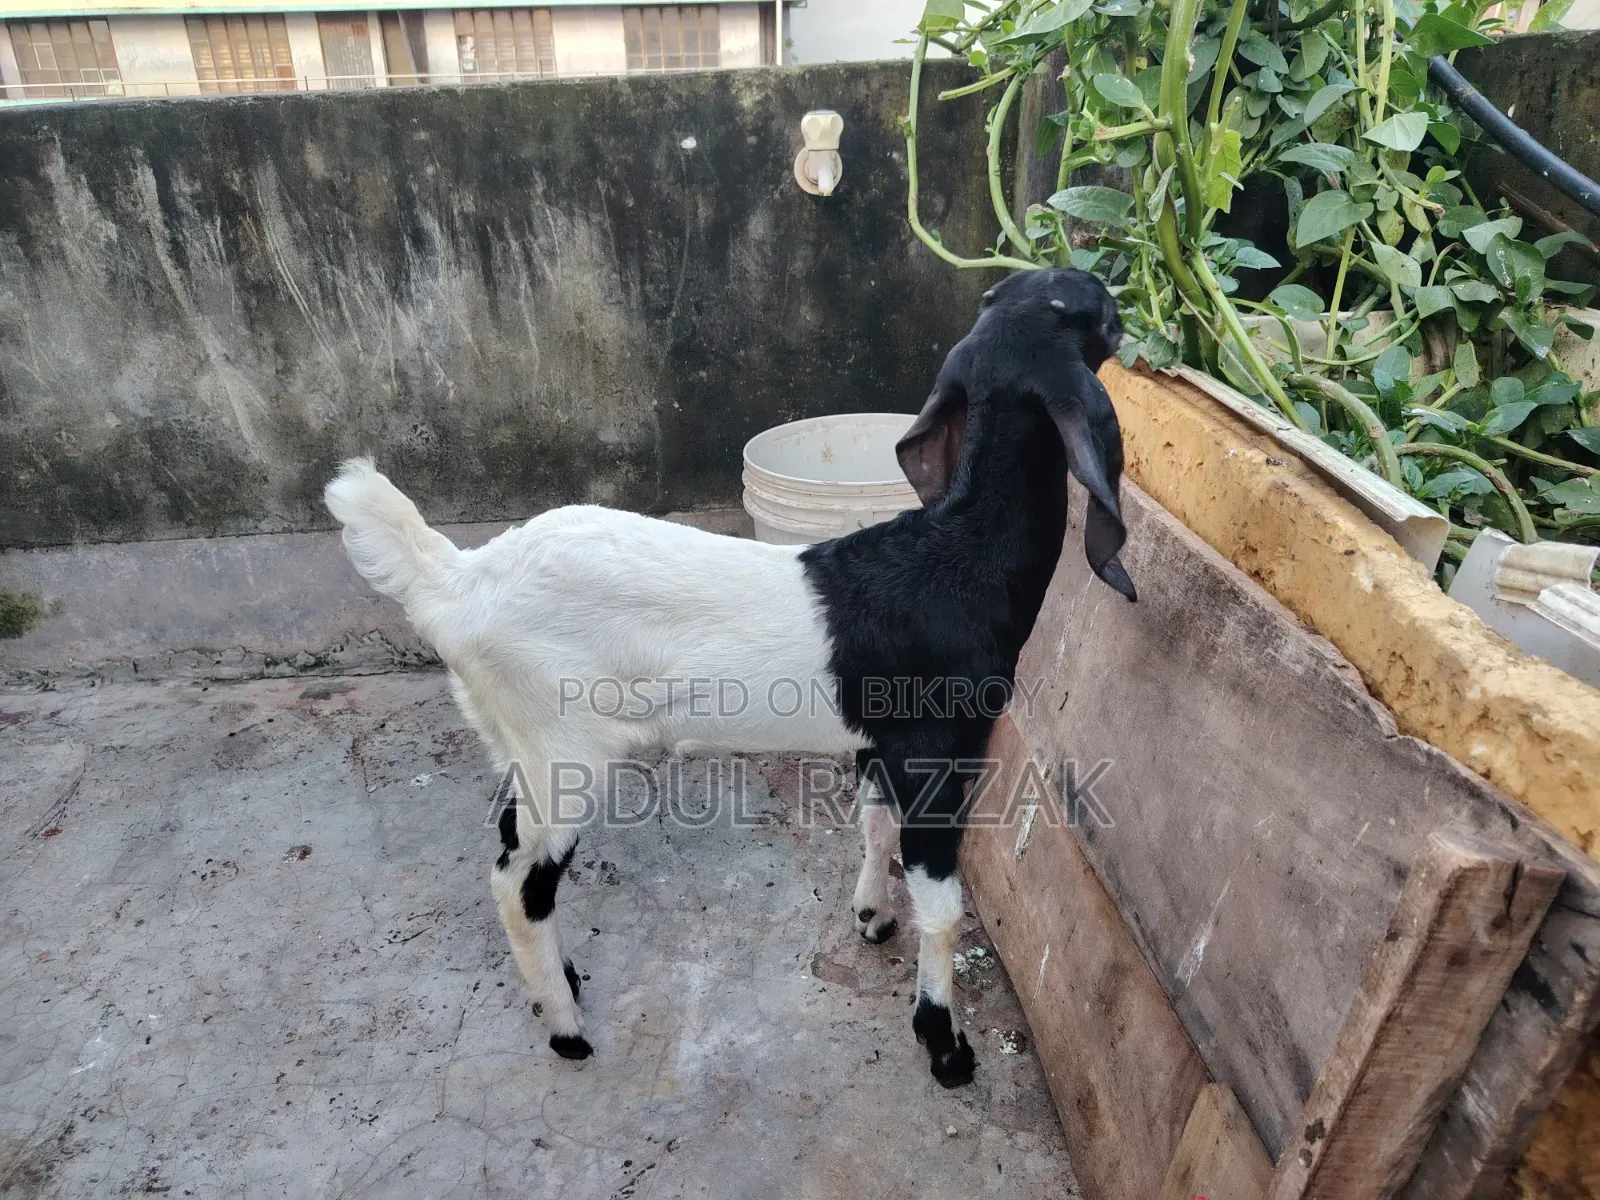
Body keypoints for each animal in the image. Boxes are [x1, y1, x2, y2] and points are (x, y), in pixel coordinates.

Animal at [323, 267, 1135, 1087]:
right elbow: (942, 907)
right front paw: (944, 1044)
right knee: (519, 882)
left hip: (512, 738)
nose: (1118, 294)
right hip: (560, 748)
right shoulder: (938, 749)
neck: (959, 557)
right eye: (1084, 312)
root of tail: (457, 581)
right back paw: (566, 1028)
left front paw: (872, 917)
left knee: (511, 847)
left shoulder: (881, 739)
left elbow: (873, 825)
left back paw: (567, 982)